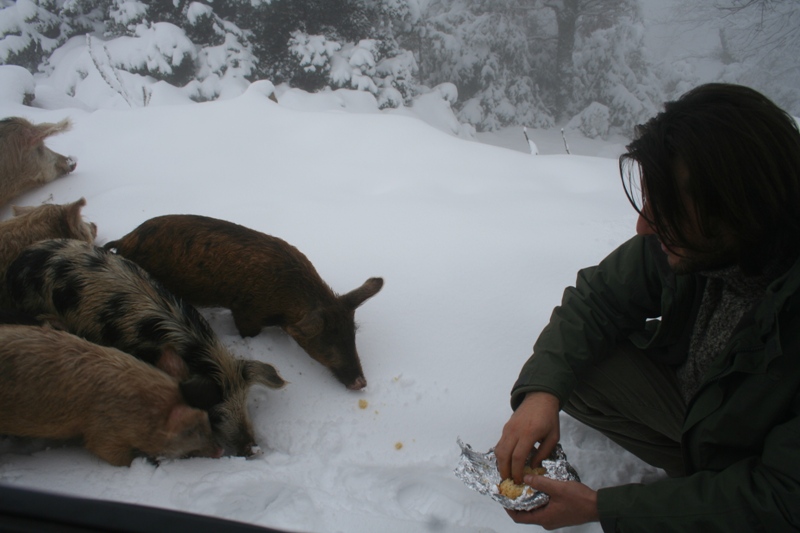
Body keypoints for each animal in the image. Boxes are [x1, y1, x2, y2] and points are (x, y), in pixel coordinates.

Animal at [104, 215, 386, 390]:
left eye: (352, 335)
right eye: (325, 342)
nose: (361, 383)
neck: (285, 303)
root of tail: (124, 239)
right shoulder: (245, 312)